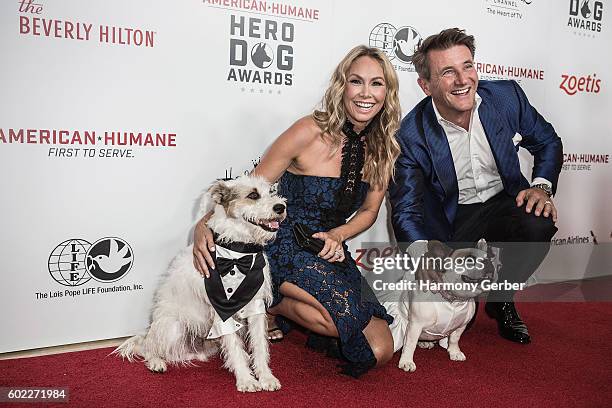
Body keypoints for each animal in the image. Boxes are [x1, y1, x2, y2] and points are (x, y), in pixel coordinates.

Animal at [115, 176, 286, 392]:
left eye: (272, 192)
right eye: (253, 195)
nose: (281, 207)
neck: (238, 253)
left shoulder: (255, 306)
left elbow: (259, 345)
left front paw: (265, 377)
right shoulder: (222, 308)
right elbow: (235, 346)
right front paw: (246, 380)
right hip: (173, 327)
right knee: (149, 347)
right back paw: (156, 362)